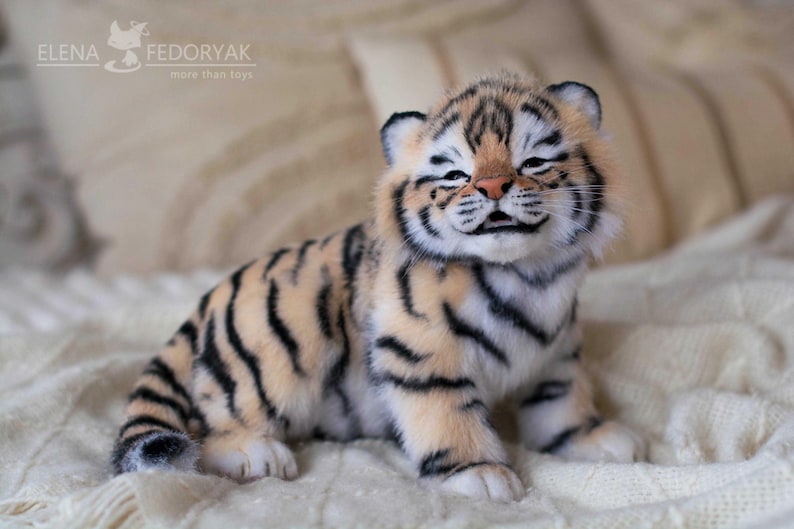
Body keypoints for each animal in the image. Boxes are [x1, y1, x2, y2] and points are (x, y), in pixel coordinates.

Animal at [111, 73, 645, 502]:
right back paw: (254, 454)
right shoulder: (421, 353)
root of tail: (208, 301)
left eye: (532, 161)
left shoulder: (557, 349)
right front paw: (479, 475)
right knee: (209, 425)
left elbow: (561, 402)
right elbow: (450, 416)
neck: (528, 274)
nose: (492, 187)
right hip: (274, 352)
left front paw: (594, 439)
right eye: (456, 174)